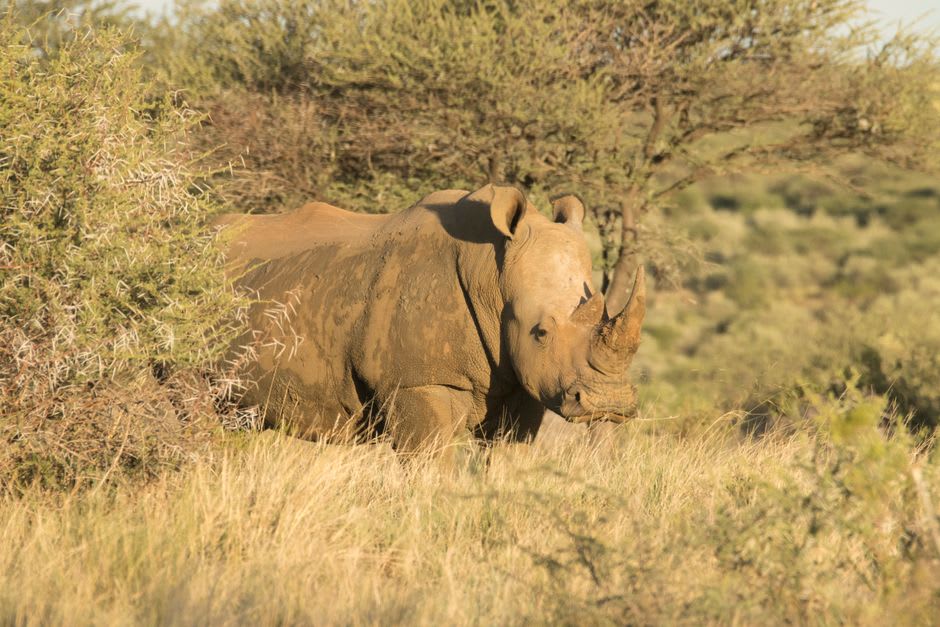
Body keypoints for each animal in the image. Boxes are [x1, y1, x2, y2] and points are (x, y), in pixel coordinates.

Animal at [218, 184, 645, 457]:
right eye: (540, 332)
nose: (608, 402)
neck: (492, 274)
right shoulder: (418, 380)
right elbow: (433, 461)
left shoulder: (525, 382)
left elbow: (508, 458)